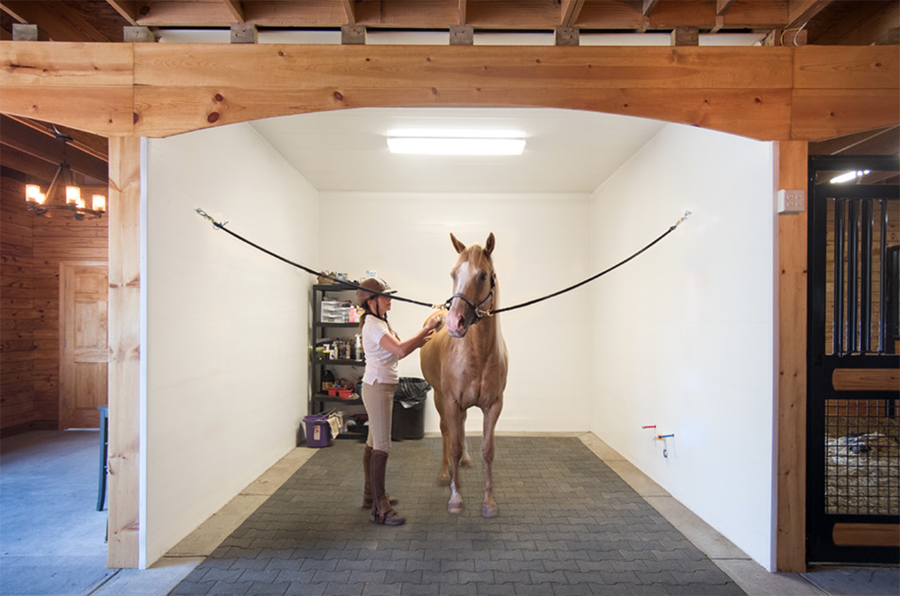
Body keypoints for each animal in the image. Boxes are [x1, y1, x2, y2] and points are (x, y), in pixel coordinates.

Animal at [420, 232, 509, 517]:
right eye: (453, 273)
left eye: (483, 275)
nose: (454, 323)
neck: (478, 354)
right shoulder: (450, 401)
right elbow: (454, 445)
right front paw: (456, 497)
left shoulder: (493, 405)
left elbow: (488, 450)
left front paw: (489, 502)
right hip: (439, 397)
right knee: (446, 431)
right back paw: (444, 473)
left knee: (459, 425)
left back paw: (465, 462)